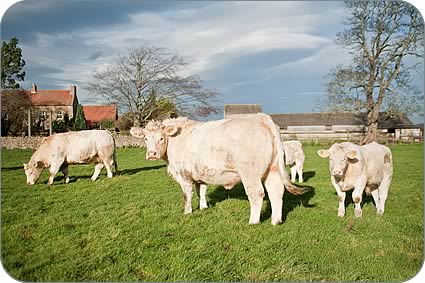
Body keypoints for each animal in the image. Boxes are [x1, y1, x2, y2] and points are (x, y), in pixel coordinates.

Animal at [131, 113, 304, 226]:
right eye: (145, 138)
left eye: (161, 138)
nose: (151, 154)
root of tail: (262, 118)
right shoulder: (200, 174)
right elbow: (201, 191)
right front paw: (203, 207)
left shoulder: (184, 175)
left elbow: (187, 195)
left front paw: (187, 212)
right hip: (272, 170)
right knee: (276, 192)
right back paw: (276, 221)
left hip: (250, 173)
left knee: (257, 194)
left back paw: (253, 221)